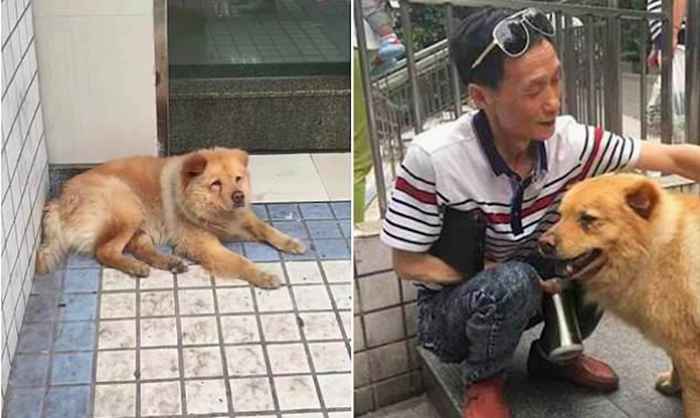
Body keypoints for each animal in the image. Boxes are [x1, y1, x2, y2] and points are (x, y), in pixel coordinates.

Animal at [35, 147, 304, 288]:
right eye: (216, 184)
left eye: (238, 179)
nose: (239, 196)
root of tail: (58, 201)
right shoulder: (204, 244)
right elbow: (239, 262)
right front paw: (263, 275)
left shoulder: (241, 219)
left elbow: (266, 229)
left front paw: (290, 242)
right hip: (128, 207)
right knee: (106, 251)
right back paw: (134, 266)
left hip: (139, 223)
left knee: (139, 248)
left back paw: (168, 262)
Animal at [540, 174, 696, 418]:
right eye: (561, 215)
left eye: (587, 219)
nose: (542, 244)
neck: (656, 251)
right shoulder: (678, 339)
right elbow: (675, 364)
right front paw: (672, 385)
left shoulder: (688, 349)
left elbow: (691, 400)